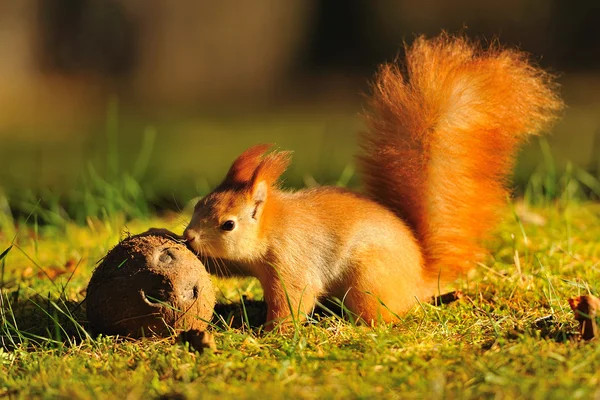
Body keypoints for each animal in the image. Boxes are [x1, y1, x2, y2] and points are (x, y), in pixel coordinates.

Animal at [183, 34, 564, 328]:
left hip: (368, 278)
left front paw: (271, 332)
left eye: (228, 224)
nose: (188, 237)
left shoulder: (292, 261)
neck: (271, 227)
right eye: (199, 204)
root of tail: (420, 278)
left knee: (381, 316)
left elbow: (294, 298)